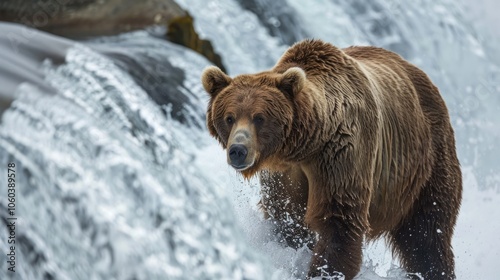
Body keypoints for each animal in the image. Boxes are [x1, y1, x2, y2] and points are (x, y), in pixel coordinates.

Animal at [201, 39, 462, 280]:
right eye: (229, 117)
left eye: (259, 118)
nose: (238, 150)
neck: (305, 145)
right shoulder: (284, 174)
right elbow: (286, 216)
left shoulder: (341, 155)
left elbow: (339, 222)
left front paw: (325, 270)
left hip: (426, 164)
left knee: (427, 233)